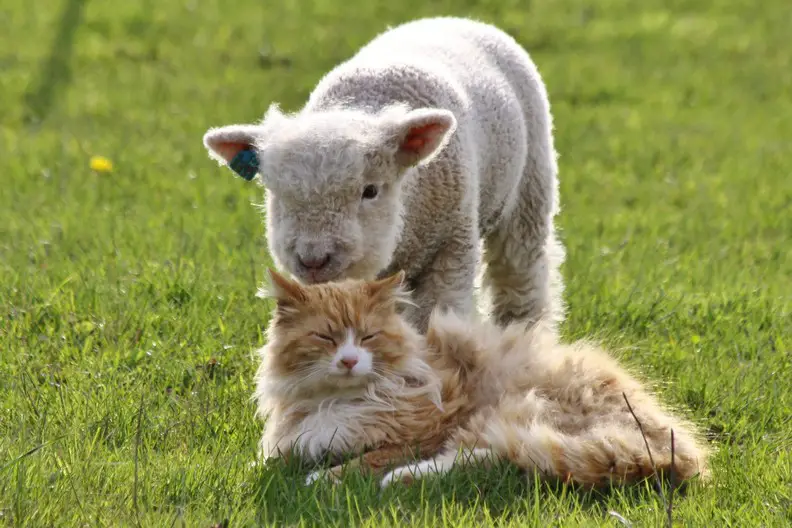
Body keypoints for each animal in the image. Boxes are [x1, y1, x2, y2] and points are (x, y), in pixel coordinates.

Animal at [201, 16, 568, 332]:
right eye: (278, 196)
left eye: (370, 191)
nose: (313, 260)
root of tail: (453, 19)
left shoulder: (451, 251)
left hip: (530, 190)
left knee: (520, 274)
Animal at [254, 270, 712, 488]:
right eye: (326, 337)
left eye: (367, 336)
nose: (349, 360)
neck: (338, 399)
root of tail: (670, 451)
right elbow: (281, 456)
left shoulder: (426, 430)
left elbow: (366, 459)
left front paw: (322, 478)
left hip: (508, 413)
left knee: (482, 457)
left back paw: (399, 480)